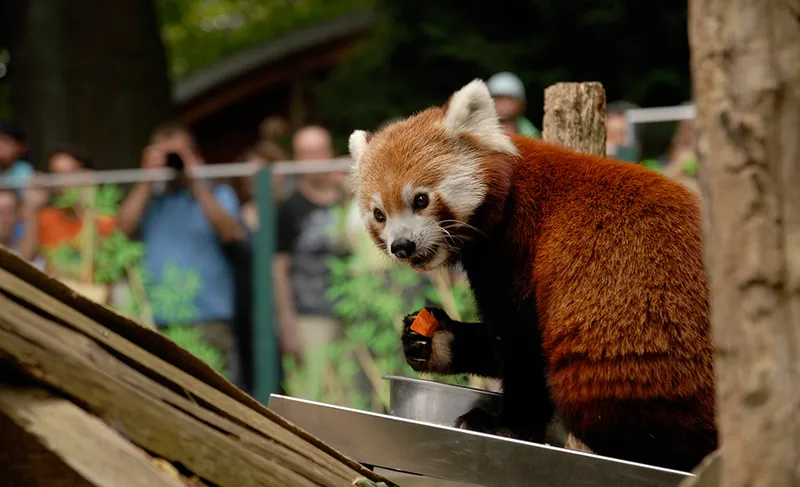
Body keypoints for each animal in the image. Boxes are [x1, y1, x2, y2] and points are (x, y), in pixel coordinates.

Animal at [350, 79, 720, 472]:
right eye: (379, 214)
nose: (402, 246)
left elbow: (523, 344)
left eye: (420, 200)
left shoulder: (519, 251)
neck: (506, 196)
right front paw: (434, 342)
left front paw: (505, 426)